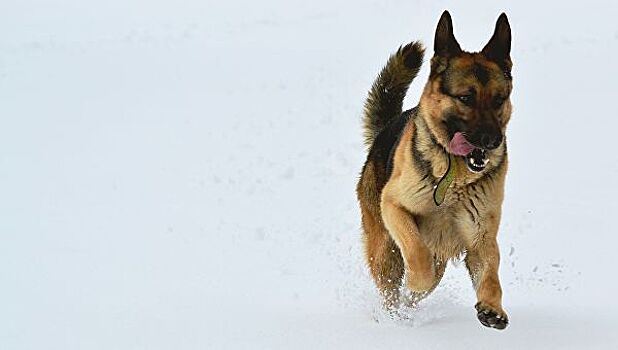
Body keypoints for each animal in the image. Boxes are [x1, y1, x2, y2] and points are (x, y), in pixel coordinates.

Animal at [356, 10, 510, 328]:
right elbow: (417, 254)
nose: (492, 141)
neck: (454, 181)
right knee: (393, 287)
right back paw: (394, 317)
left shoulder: (481, 238)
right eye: (465, 98)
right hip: (384, 250)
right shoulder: (394, 206)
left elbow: (490, 276)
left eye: (499, 99)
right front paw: (417, 279)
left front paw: (492, 308)